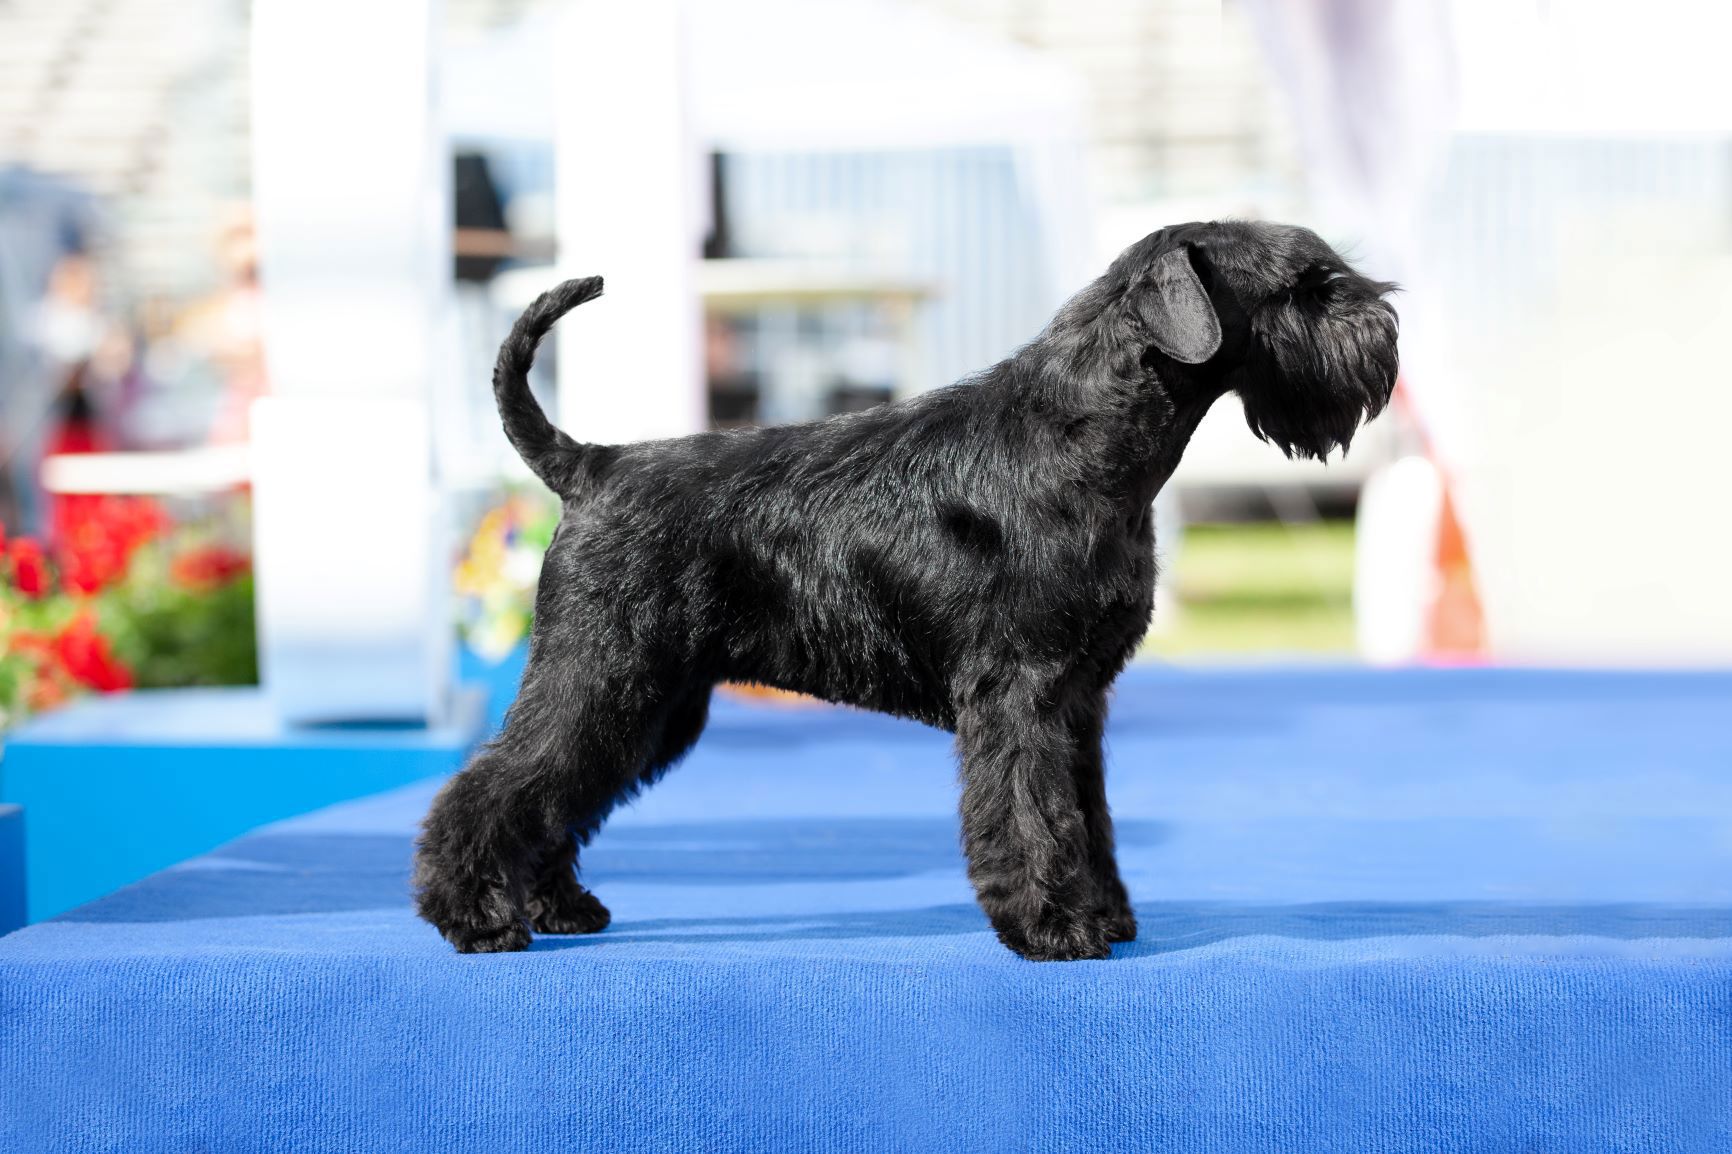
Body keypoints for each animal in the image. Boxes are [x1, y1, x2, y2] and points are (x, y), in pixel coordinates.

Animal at [412, 220, 1399, 956]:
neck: (1083, 439)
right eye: (1305, 286)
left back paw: (557, 907)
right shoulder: (1020, 692)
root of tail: (591, 465)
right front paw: (1054, 928)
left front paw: (1106, 914)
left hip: (649, 700)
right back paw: (474, 917)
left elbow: (1086, 815)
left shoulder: (1079, 698)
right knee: (496, 785)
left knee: (556, 792)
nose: (1386, 336)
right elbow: (1030, 811)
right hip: (601, 673)